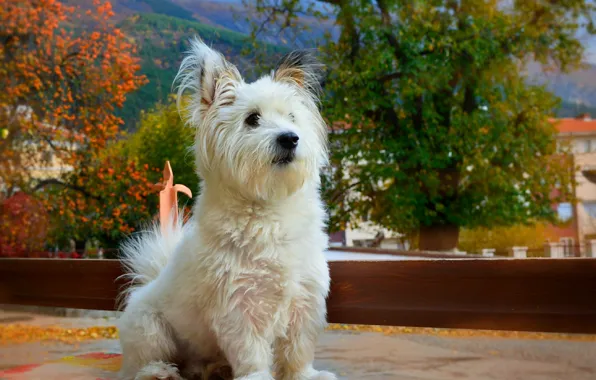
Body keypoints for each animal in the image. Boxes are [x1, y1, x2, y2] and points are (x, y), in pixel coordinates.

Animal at [116, 37, 338, 380]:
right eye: (252, 119)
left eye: (292, 118)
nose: (290, 138)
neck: (268, 209)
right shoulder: (238, 307)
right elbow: (252, 353)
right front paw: (258, 377)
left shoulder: (305, 298)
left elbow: (298, 350)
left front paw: (306, 376)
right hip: (150, 328)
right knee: (141, 363)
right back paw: (160, 371)